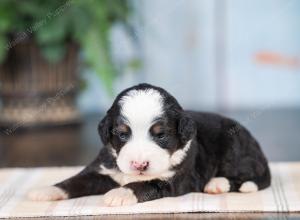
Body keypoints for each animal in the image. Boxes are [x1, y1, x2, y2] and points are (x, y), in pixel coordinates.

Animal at [28, 84, 272, 206]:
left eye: (160, 135)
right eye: (122, 134)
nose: (139, 165)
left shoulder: (174, 179)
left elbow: (145, 184)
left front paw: (121, 194)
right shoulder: (102, 171)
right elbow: (74, 181)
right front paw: (46, 191)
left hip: (234, 148)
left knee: (248, 177)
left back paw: (217, 183)